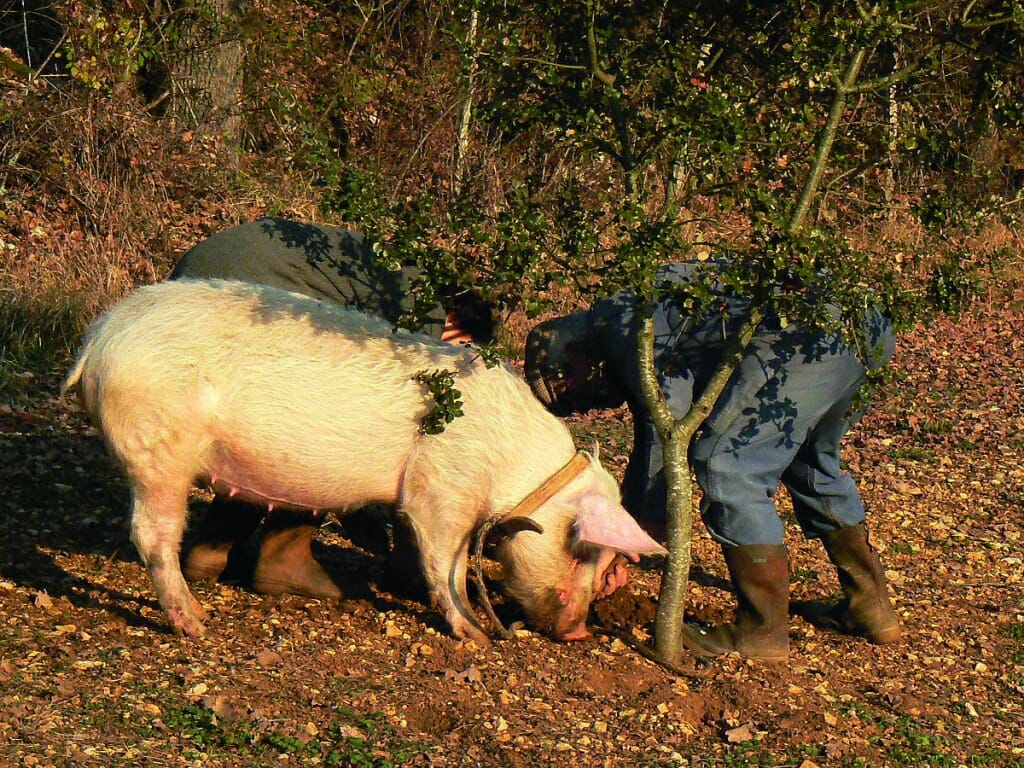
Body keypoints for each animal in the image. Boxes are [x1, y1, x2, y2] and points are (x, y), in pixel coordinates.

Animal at [64, 278, 663, 643]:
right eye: (582, 550)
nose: (579, 630)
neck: (515, 470)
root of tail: (98, 337)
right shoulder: (442, 489)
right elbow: (444, 561)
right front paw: (473, 635)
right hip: (157, 447)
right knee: (150, 532)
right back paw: (197, 624)